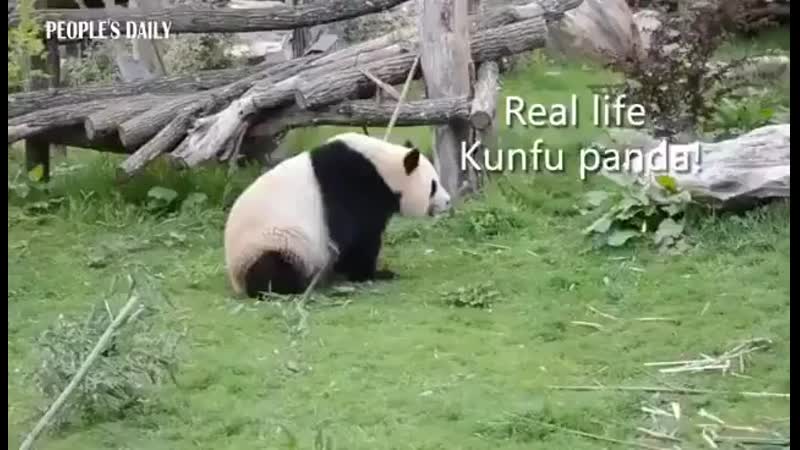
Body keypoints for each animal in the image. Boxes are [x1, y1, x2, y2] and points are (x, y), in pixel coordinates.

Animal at [224, 132, 452, 298]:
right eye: (433, 186)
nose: (448, 201)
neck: (383, 168)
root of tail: (235, 281)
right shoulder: (350, 184)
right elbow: (356, 236)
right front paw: (372, 273)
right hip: (275, 242)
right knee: (273, 267)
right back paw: (296, 286)